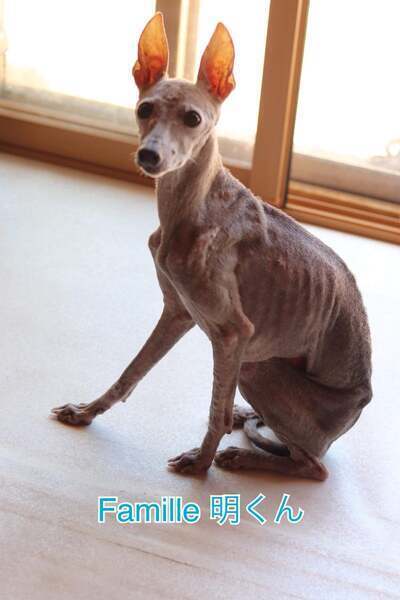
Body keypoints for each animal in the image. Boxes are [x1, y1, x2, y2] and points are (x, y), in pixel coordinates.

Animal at [52, 13, 372, 480]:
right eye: (144, 109)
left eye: (193, 118)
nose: (149, 157)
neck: (194, 206)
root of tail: (359, 405)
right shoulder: (178, 313)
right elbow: (132, 371)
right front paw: (87, 411)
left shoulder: (233, 332)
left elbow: (213, 414)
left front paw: (201, 464)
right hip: (252, 367)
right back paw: (245, 418)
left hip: (259, 368)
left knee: (311, 466)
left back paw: (245, 455)